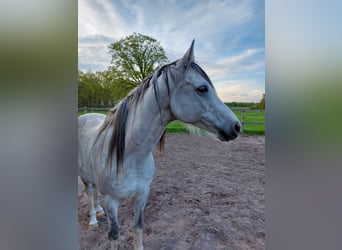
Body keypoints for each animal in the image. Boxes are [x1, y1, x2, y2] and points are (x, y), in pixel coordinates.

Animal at [79, 40, 242, 249]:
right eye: (202, 88)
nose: (236, 126)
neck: (131, 155)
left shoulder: (142, 196)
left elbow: (138, 228)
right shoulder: (112, 202)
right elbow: (114, 235)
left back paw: (99, 211)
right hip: (85, 178)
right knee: (90, 193)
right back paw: (93, 220)